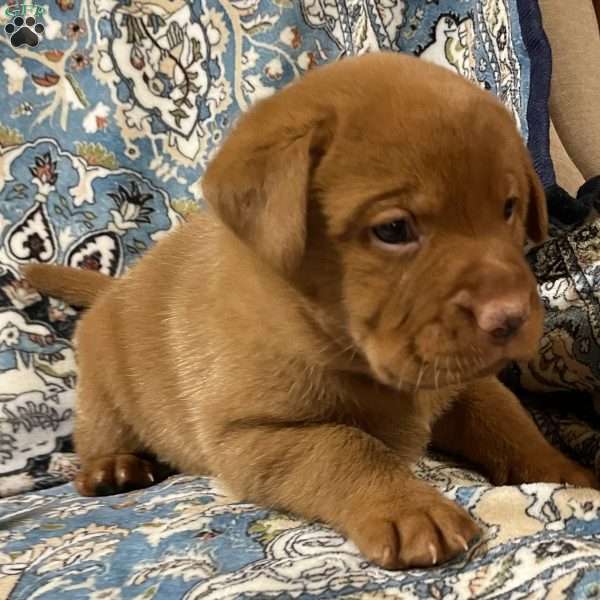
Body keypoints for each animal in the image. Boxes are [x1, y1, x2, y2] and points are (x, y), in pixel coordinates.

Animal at [22, 54, 596, 568]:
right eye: (394, 229)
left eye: (508, 208)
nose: (511, 317)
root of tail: (116, 289)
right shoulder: (253, 434)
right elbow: (346, 447)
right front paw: (409, 508)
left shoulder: (463, 383)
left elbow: (512, 425)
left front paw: (567, 475)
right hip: (103, 395)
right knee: (98, 435)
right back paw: (114, 467)